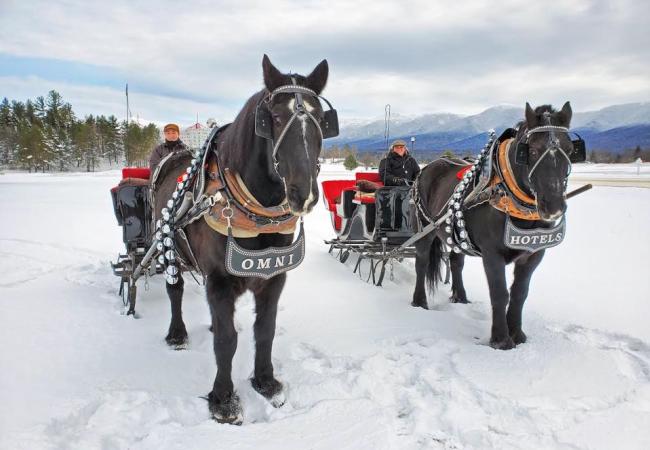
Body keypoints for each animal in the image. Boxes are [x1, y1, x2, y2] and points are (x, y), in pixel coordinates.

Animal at [153, 54, 330, 424]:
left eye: (322, 118)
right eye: (274, 117)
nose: (304, 193)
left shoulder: (274, 276)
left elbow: (265, 330)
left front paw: (266, 381)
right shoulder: (220, 280)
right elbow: (227, 340)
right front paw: (223, 399)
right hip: (169, 249)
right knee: (175, 290)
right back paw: (177, 333)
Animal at [412, 103, 576, 352]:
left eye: (570, 148)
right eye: (532, 150)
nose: (554, 206)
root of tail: (430, 166)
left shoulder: (534, 254)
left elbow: (519, 293)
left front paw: (517, 334)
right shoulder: (492, 253)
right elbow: (500, 293)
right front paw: (501, 339)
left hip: (456, 233)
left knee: (456, 262)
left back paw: (460, 297)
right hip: (425, 228)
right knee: (421, 262)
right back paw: (419, 301)